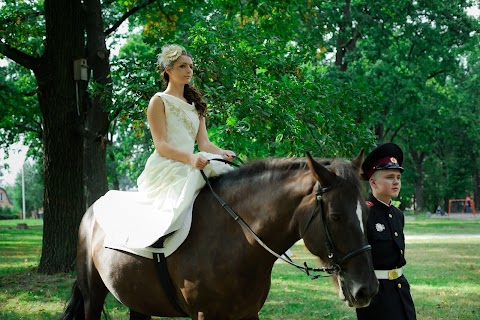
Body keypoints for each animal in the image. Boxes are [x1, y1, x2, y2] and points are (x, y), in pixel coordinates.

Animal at [60, 152, 378, 318]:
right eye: (336, 216)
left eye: (366, 212)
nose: (368, 290)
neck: (237, 240)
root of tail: (91, 211)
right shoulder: (206, 316)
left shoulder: (248, 314)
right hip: (93, 297)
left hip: (138, 300)